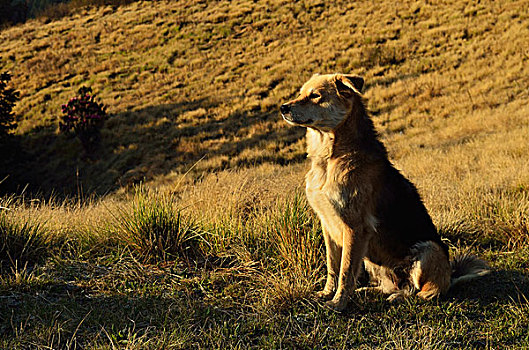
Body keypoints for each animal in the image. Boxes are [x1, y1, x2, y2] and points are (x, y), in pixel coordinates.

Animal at [278, 72, 488, 310]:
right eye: (301, 93)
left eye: (315, 96)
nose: (283, 108)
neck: (331, 156)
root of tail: (450, 277)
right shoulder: (327, 223)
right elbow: (333, 267)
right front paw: (326, 294)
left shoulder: (355, 228)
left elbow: (345, 271)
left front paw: (338, 303)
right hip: (374, 262)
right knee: (391, 286)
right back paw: (370, 291)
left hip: (429, 250)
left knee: (424, 292)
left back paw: (402, 297)